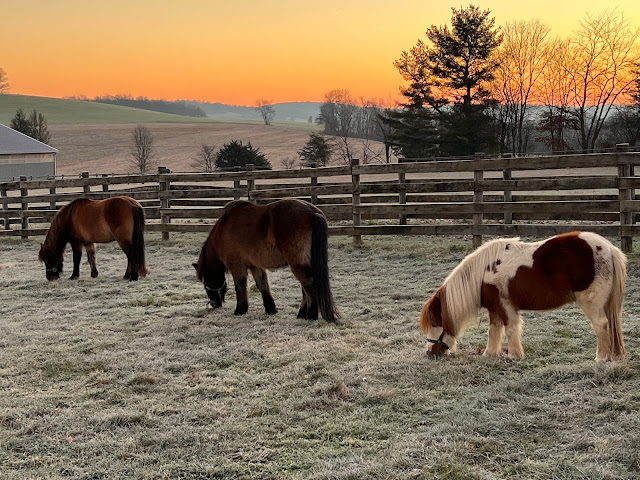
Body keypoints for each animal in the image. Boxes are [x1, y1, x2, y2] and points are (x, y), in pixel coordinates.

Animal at [194, 198, 340, 322]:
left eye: (206, 281)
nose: (214, 304)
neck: (223, 230)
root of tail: (313, 212)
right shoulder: (255, 265)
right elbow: (262, 285)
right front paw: (271, 309)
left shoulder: (237, 266)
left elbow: (240, 286)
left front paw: (240, 310)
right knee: (305, 288)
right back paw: (302, 314)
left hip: (297, 264)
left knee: (308, 286)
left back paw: (311, 315)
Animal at [419, 231, 627, 362]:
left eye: (435, 323)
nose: (430, 353)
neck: (482, 273)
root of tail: (608, 248)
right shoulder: (494, 308)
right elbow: (494, 331)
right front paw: (489, 354)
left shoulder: (505, 305)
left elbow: (510, 329)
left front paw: (514, 355)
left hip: (591, 302)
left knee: (601, 324)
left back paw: (601, 358)